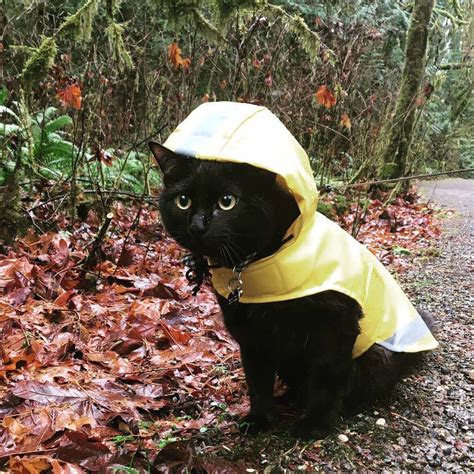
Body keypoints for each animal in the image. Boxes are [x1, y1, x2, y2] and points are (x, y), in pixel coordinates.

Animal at [149, 143, 434, 438]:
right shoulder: (248, 332)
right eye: (183, 201)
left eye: (227, 201)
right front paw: (259, 418)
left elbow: (326, 375)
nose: (196, 226)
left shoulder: (335, 324)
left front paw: (316, 424)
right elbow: (257, 379)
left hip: (377, 354)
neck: (257, 261)